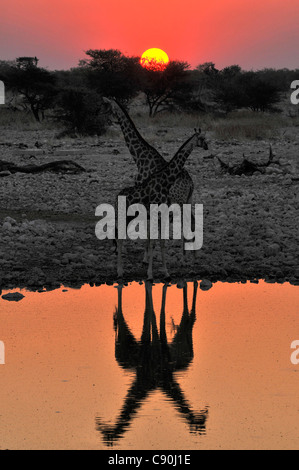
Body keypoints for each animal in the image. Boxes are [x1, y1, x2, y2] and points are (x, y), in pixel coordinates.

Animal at [116, 129, 210, 280]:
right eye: (201, 138)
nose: (206, 146)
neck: (165, 181)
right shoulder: (156, 214)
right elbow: (154, 241)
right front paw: (150, 273)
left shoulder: (162, 215)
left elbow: (161, 242)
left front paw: (165, 272)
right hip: (125, 216)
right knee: (119, 237)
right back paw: (119, 271)